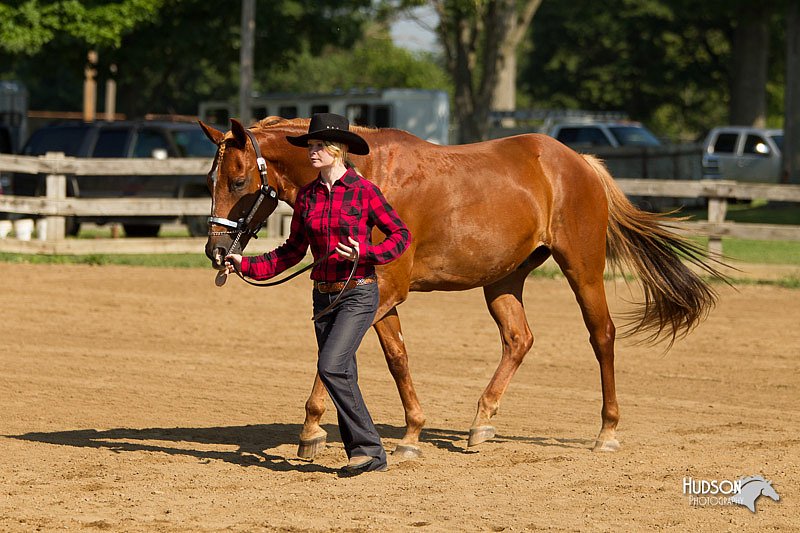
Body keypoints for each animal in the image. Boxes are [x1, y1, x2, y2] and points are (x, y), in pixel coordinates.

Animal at [202, 116, 724, 458]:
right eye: (211, 179)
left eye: (240, 179)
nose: (216, 250)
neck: (364, 174)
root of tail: (579, 162)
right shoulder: (378, 294)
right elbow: (396, 358)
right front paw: (413, 433)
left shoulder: (383, 289)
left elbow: (337, 354)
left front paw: (311, 430)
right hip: (504, 279)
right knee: (519, 339)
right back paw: (481, 424)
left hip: (583, 269)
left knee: (602, 337)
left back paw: (607, 431)